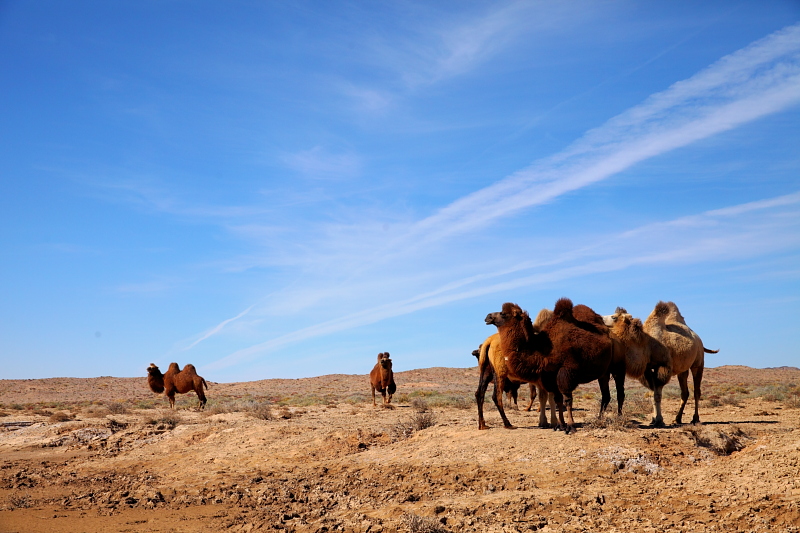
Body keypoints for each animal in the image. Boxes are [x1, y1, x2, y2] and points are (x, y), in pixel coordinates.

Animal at [488, 300, 612, 432]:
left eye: (503, 314)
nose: (488, 317)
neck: (542, 351)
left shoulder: (565, 373)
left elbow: (567, 399)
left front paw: (570, 425)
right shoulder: (550, 377)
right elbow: (558, 399)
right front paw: (560, 425)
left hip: (610, 369)